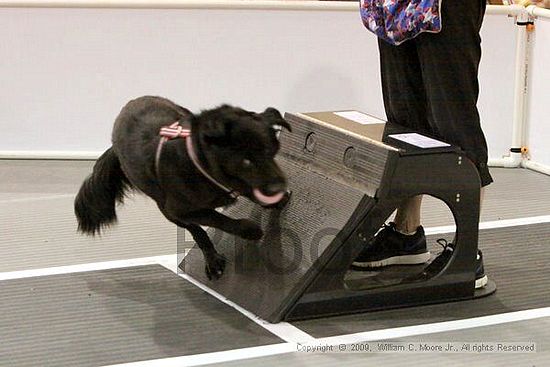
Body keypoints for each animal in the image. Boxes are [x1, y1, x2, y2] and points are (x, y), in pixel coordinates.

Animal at [76, 96, 296, 280]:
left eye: (271, 150)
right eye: (246, 161)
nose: (278, 186)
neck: (199, 164)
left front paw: (276, 201)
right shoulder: (180, 210)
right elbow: (218, 219)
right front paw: (250, 230)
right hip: (167, 210)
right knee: (197, 231)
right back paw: (213, 261)